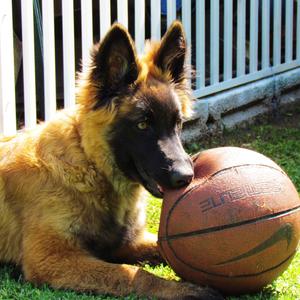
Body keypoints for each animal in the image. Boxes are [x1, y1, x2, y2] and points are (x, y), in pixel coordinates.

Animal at [0, 20, 220, 298]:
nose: (186, 177)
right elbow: (132, 274)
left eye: (177, 123)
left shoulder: (125, 243)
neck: (90, 164)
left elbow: (161, 248)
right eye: (142, 124)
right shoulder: (52, 259)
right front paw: (181, 290)